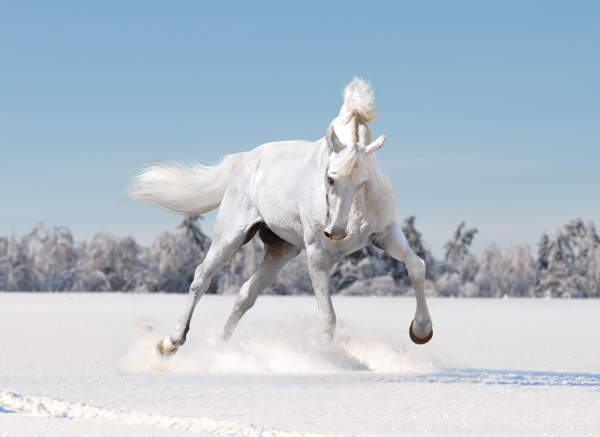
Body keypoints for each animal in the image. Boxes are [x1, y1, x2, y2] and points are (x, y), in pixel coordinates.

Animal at [126, 77, 434, 358]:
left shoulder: (386, 234)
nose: (336, 232)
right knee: (202, 277)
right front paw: (328, 359)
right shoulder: (318, 255)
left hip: (281, 250)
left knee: (246, 294)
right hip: (230, 237)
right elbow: (328, 317)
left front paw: (421, 331)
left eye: (363, 182)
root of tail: (246, 159)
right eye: (330, 178)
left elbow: (416, 266)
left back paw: (220, 347)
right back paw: (171, 342)